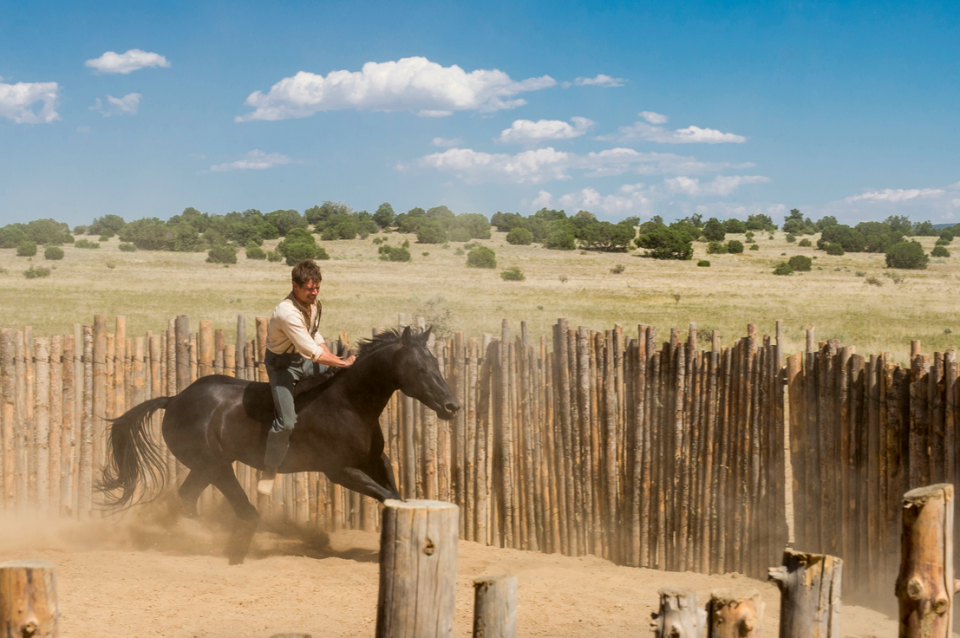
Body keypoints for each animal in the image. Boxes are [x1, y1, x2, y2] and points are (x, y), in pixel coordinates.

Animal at [99, 330, 460, 564]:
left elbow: (395, 494)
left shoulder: (375, 460)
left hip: (206, 468)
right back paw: (232, 546)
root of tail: (173, 399)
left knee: (189, 498)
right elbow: (387, 495)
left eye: (437, 364)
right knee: (245, 510)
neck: (348, 403)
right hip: (216, 467)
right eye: (420, 368)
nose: (452, 406)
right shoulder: (340, 471)